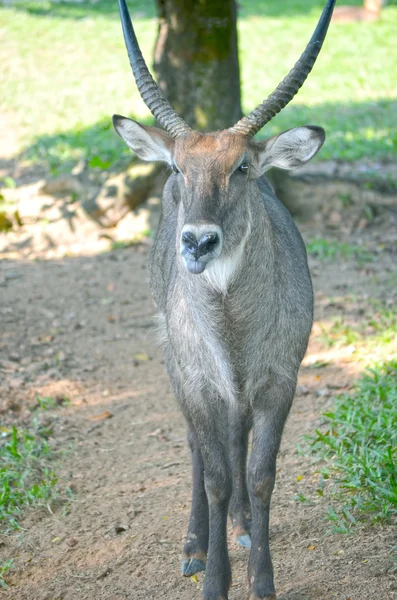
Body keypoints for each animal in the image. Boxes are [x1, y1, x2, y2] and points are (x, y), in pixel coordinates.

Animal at [113, 2, 336, 596]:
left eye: (242, 168)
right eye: (177, 167)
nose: (197, 242)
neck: (233, 329)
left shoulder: (281, 379)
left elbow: (260, 475)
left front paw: (261, 579)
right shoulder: (195, 380)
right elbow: (213, 473)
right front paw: (213, 577)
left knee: (237, 435)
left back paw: (238, 525)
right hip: (180, 367)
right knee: (199, 445)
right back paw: (196, 543)